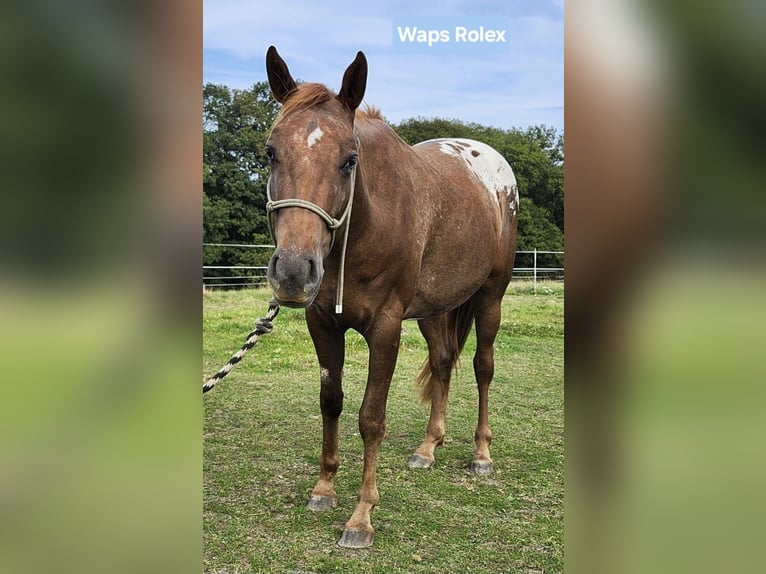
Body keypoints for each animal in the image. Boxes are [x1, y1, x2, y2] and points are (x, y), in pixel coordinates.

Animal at [263, 46, 519, 548]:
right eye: (270, 153)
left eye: (349, 160)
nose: (293, 271)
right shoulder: (322, 323)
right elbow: (331, 402)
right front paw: (324, 489)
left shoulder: (385, 329)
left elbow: (371, 418)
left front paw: (361, 517)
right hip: (435, 309)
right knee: (442, 362)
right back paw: (428, 447)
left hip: (490, 299)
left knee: (482, 368)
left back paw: (481, 454)